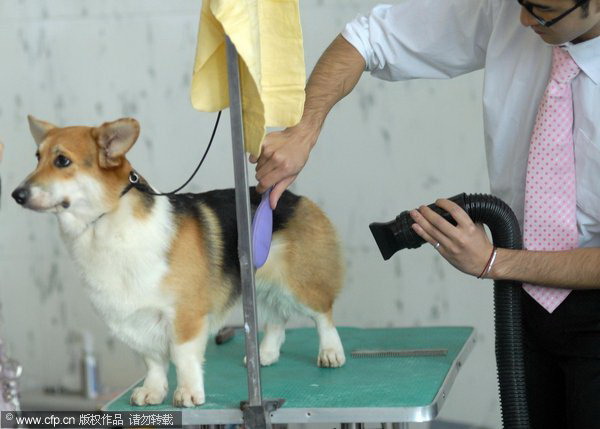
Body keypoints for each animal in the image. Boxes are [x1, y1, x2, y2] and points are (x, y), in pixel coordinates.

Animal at [11, 115, 344, 406]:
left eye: (62, 161)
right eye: (37, 157)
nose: (16, 195)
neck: (104, 223)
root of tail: (289, 196)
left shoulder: (185, 314)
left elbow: (183, 357)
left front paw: (188, 394)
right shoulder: (137, 318)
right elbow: (152, 361)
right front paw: (152, 392)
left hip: (300, 284)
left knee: (323, 314)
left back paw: (330, 352)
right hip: (258, 284)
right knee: (277, 318)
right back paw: (264, 355)